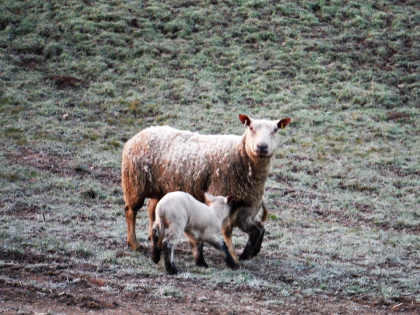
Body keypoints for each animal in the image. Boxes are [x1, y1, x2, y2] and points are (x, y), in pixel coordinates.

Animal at [121, 113, 290, 266]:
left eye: (275, 130)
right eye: (251, 128)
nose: (262, 147)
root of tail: (139, 135)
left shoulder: (247, 206)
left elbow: (258, 229)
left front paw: (248, 254)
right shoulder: (221, 195)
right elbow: (227, 231)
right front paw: (233, 257)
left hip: (160, 187)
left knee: (151, 209)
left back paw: (152, 237)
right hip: (134, 183)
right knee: (130, 211)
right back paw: (134, 243)